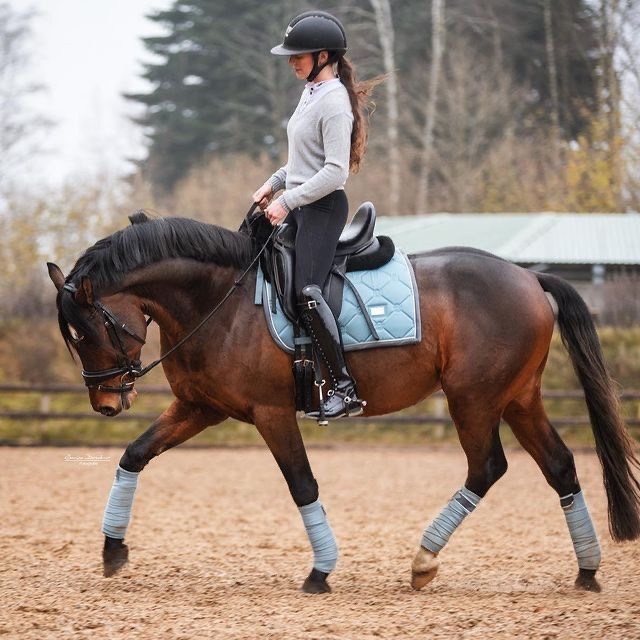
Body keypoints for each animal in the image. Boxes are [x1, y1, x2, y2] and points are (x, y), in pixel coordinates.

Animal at [47, 211, 640, 594]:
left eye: (88, 330)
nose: (105, 402)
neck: (218, 300)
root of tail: (529, 275)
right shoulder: (201, 408)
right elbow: (135, 454)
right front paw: (112, 549)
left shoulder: (270, 413)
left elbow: (302, 484)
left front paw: (321, 571)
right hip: (518, 397)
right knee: (559, 466)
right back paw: (587, 572)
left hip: (474, 398)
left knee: (487, 467)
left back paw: (423, 560)